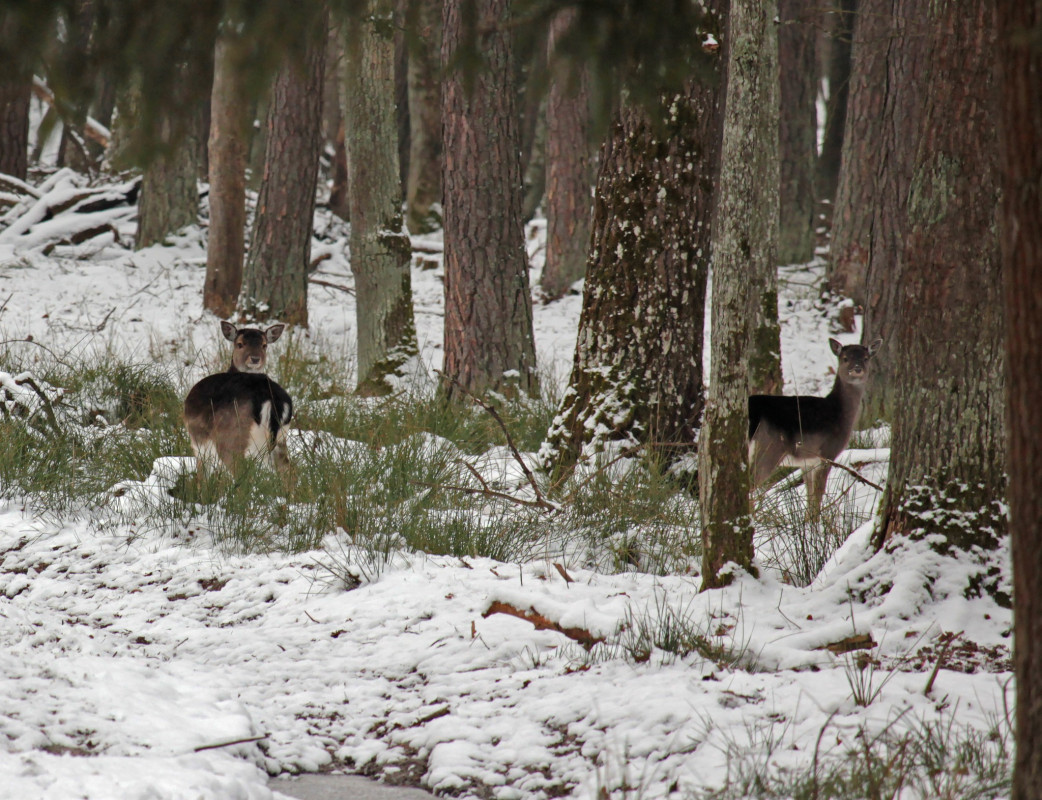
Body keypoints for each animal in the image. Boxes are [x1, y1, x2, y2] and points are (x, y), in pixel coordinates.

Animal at [183, 320, 293, 479]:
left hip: (231, 438)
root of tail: (271, 399)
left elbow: (202, 475)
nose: (255, 359)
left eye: (264, 345)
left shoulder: (198, 442)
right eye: (240, 344)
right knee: (290, 472)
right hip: (281, 439)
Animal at [746, 337, 883, 518]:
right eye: (845, 358)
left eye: (866, 358)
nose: (857, 369)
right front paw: (816, 524)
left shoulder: (807, 462)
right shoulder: (827, 453)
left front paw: (808, 523)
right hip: (768, 449)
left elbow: (810, 499)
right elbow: (818, 497)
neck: (839, 414)